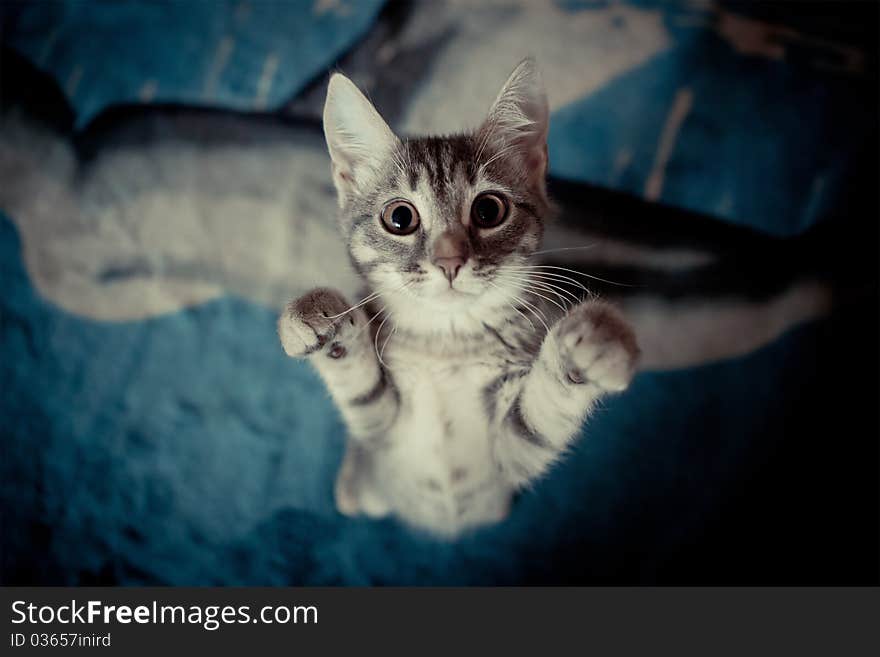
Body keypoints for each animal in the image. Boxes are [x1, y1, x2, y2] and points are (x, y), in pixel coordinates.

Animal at [278, 59, 636, 536]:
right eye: (399, 218)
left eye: (488, 210)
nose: (449, 261)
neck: (447, 342)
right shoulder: (380, 431)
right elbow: (360, 387)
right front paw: (318, 321)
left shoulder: (510, 456)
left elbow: (541, 416)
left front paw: (592, 342)